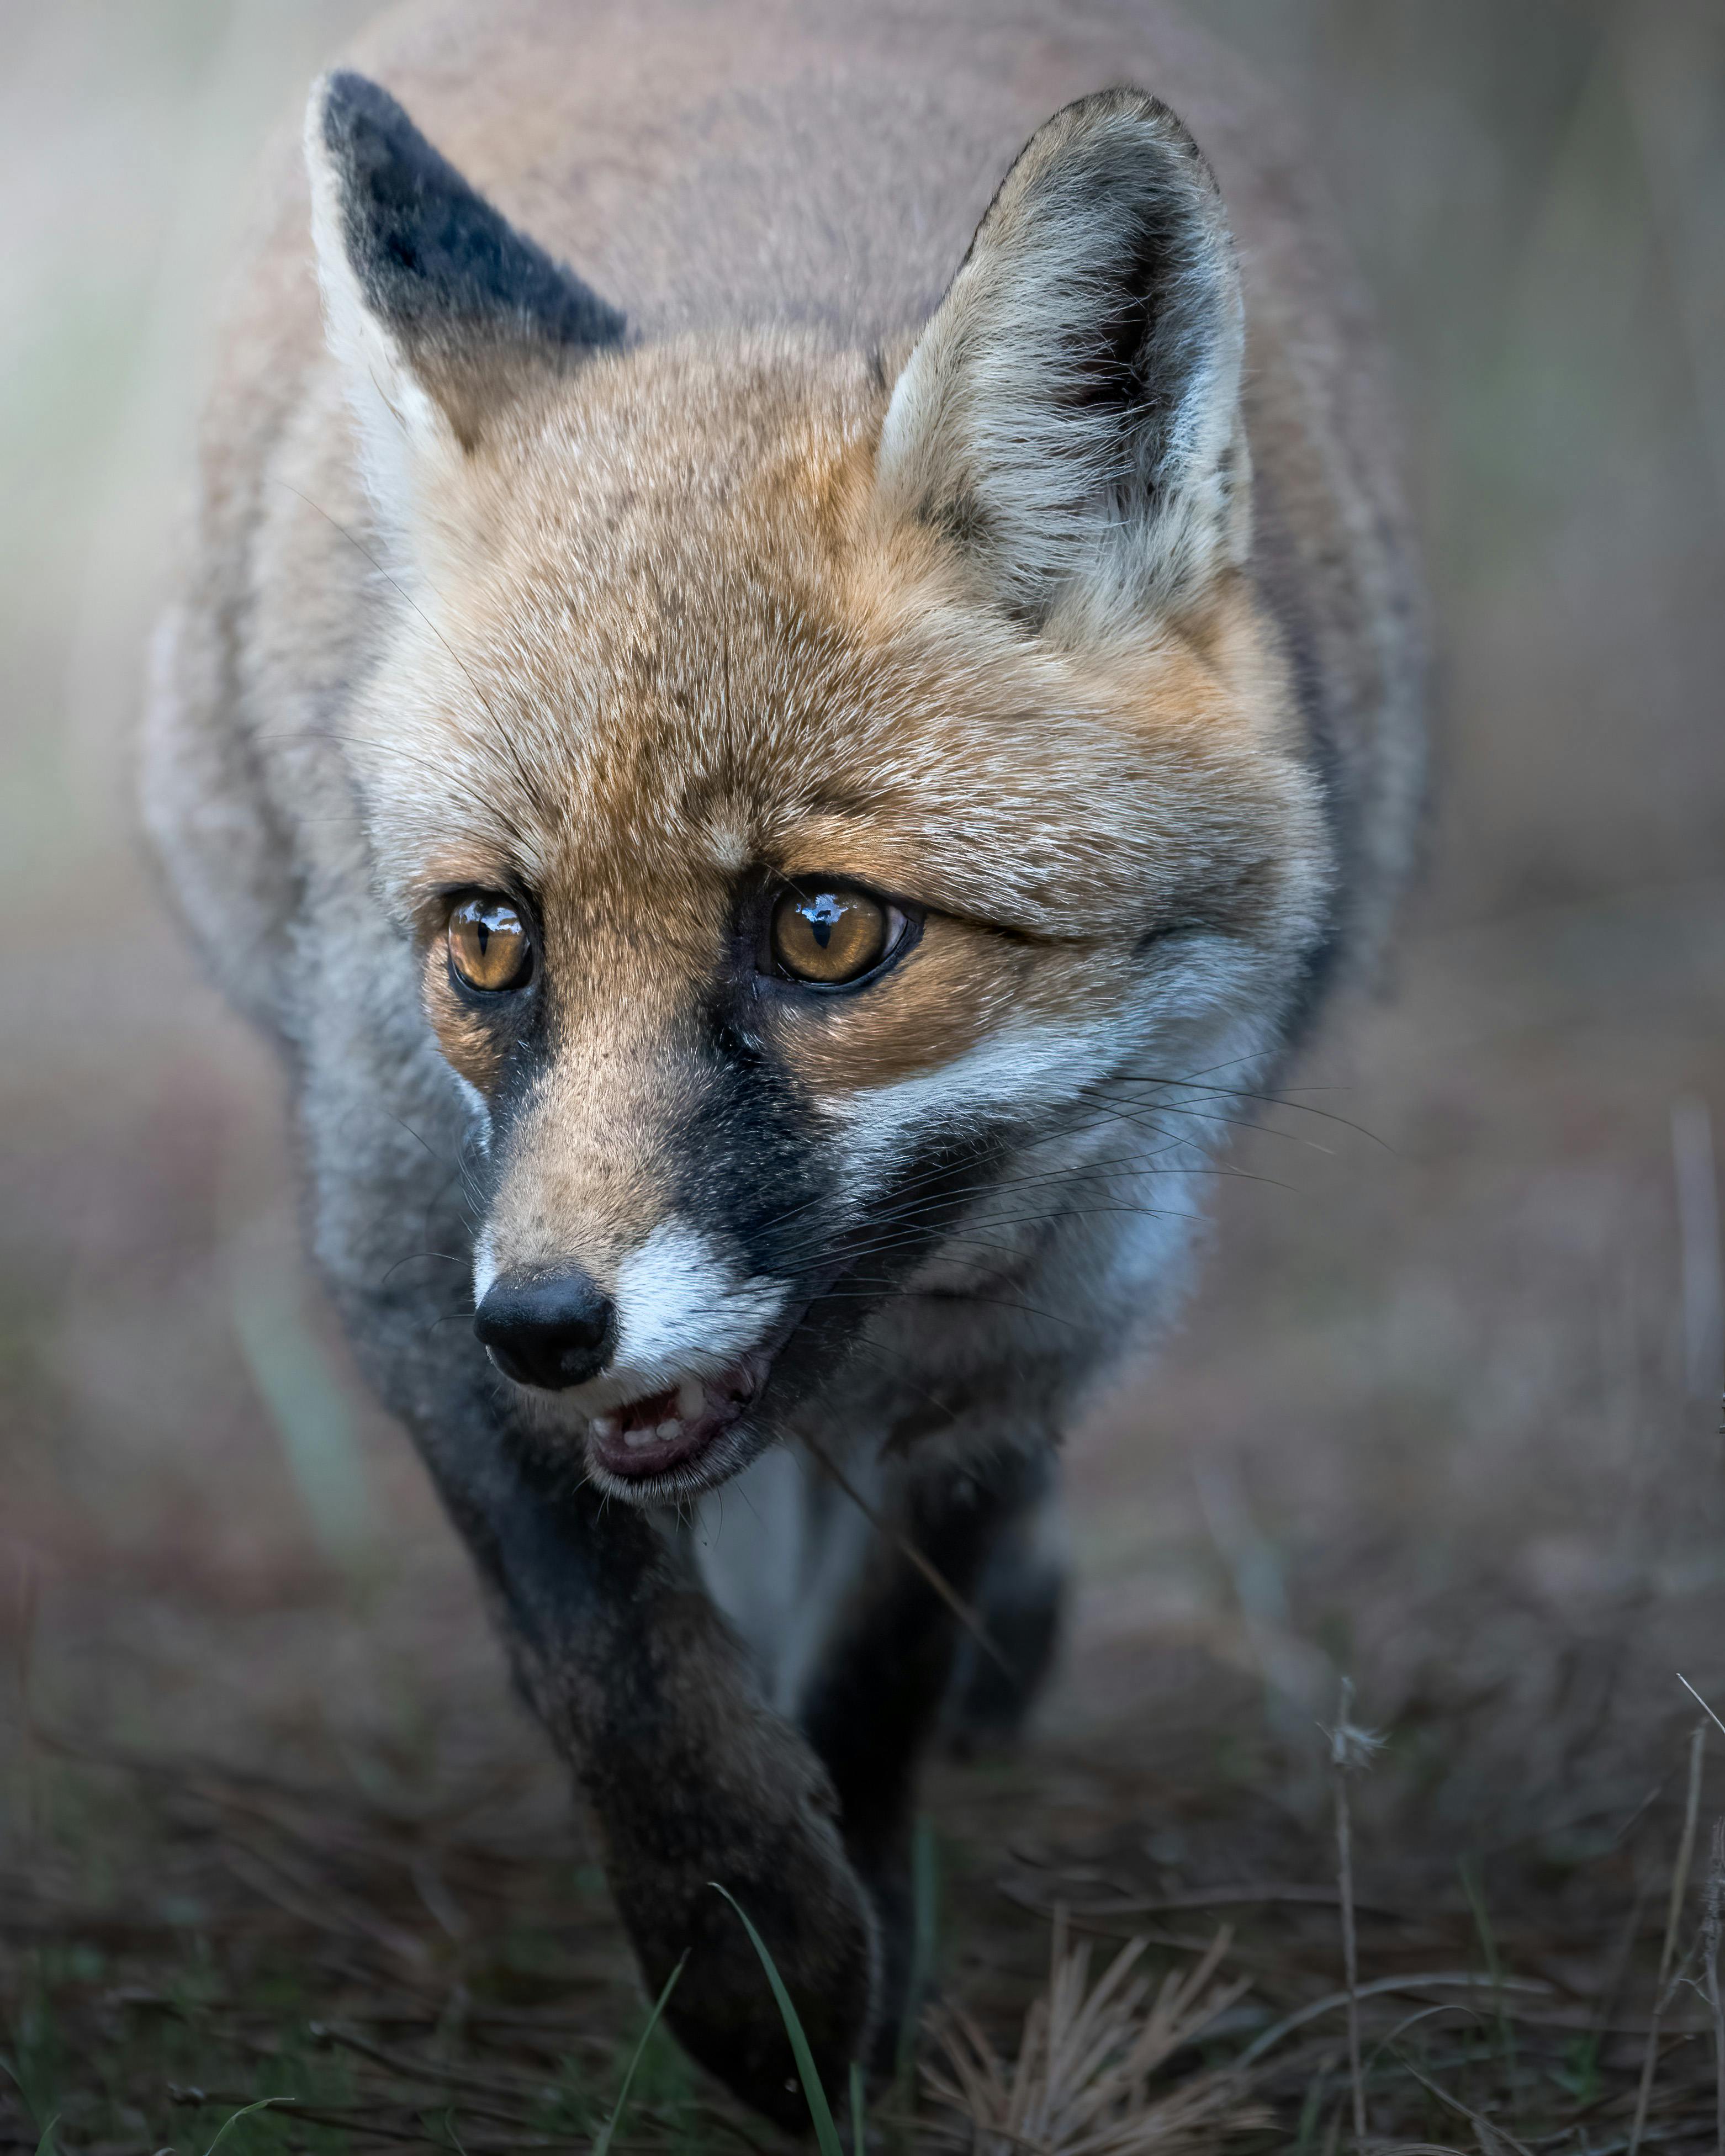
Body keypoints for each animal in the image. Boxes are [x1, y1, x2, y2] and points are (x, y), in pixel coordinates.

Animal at [141, 0, 1423, 2121]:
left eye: (824, 932)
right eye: (487, 938)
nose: (550, 1324)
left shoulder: (1047, 1325)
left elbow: (886, 1655)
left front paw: (857, 1957)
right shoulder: (410, 1246)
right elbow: (622, 1668)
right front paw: (759, 1966)